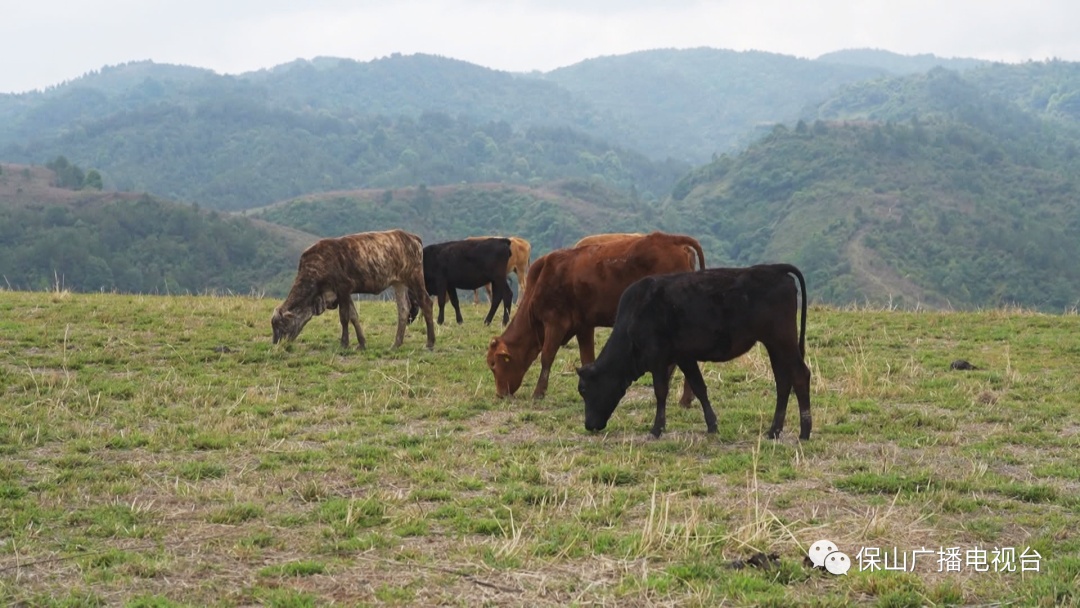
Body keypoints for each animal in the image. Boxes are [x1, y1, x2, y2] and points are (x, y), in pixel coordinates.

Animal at [272, 228, 436, 349]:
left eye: (280, 325)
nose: (275, 343)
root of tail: (412, 237)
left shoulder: (343, 289)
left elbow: (344, 317)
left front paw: (344, 343)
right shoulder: (344, 294)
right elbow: (353, 316)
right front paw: (362, 343)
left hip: (414, 278)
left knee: (426, 303)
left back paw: (430, 343)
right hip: (399, 283)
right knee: (403, 309)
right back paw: (396, 344)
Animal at [490, 232, 708, 399]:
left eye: (493, 365)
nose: (500, 394)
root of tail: (672, 239)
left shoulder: (555, 323)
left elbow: (546, 357)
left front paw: (538, 393)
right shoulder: (583, 326)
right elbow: (587, 359)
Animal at [578, 264, 807, 440]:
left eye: (584, 390)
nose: (588, 424)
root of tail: (775, 268)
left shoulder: (657, 358)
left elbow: (660, 391)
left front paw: (656, 429)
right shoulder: (684, 357)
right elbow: (699, 388)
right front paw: (712, 426)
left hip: (782, 340)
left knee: (801, 375)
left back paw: (805, 431)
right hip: (775, 345)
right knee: (783, 382)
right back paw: (774, 431)